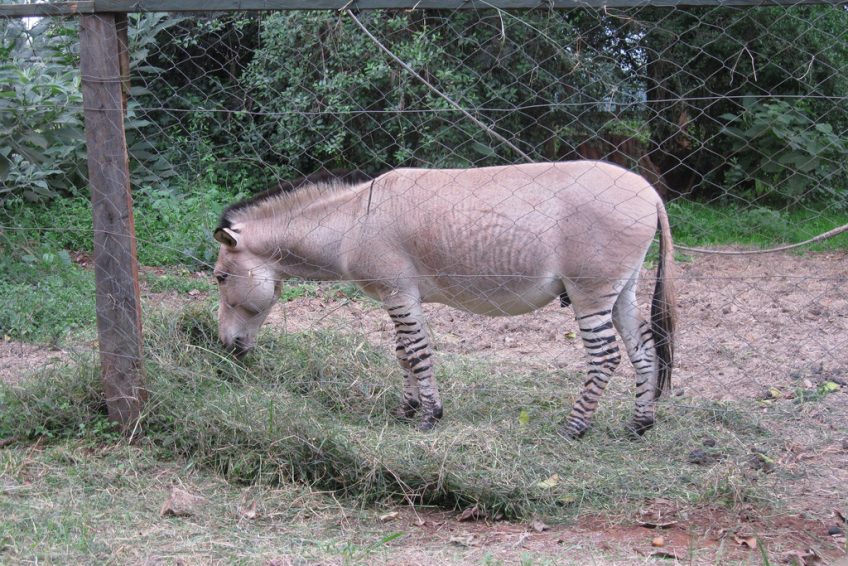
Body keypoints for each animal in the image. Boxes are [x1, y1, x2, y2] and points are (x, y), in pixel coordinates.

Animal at [213, 161, 676, 438]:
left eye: (219, 277)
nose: (226, 349)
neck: (350, 224)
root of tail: (649, 190)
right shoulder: (399, 297)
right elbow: (402, 352)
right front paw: (407, 408)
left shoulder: (398, 293)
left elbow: (417, 353)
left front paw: (430, 415)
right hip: (622, 289)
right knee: (643, 350)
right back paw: (639, 424)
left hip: (589, 290)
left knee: (605, 357)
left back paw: (574, 427)